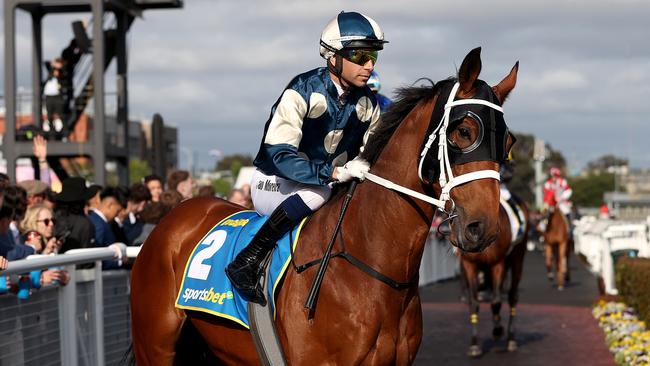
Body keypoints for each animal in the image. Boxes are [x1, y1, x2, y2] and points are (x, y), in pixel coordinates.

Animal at [130, 47, 516, 364]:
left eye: (508, 142)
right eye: (463, 132)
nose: (482, 228)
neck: (369, 269)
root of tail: (176, 215)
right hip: (155, 346)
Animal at [456, 194, 528, 358]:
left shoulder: (498, 262)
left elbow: (496, 302)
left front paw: (497, 330)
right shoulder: (469, 264)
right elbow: (474, 303)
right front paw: (474, 344)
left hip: (517, 256)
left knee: (512, 296)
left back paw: (511, 339)